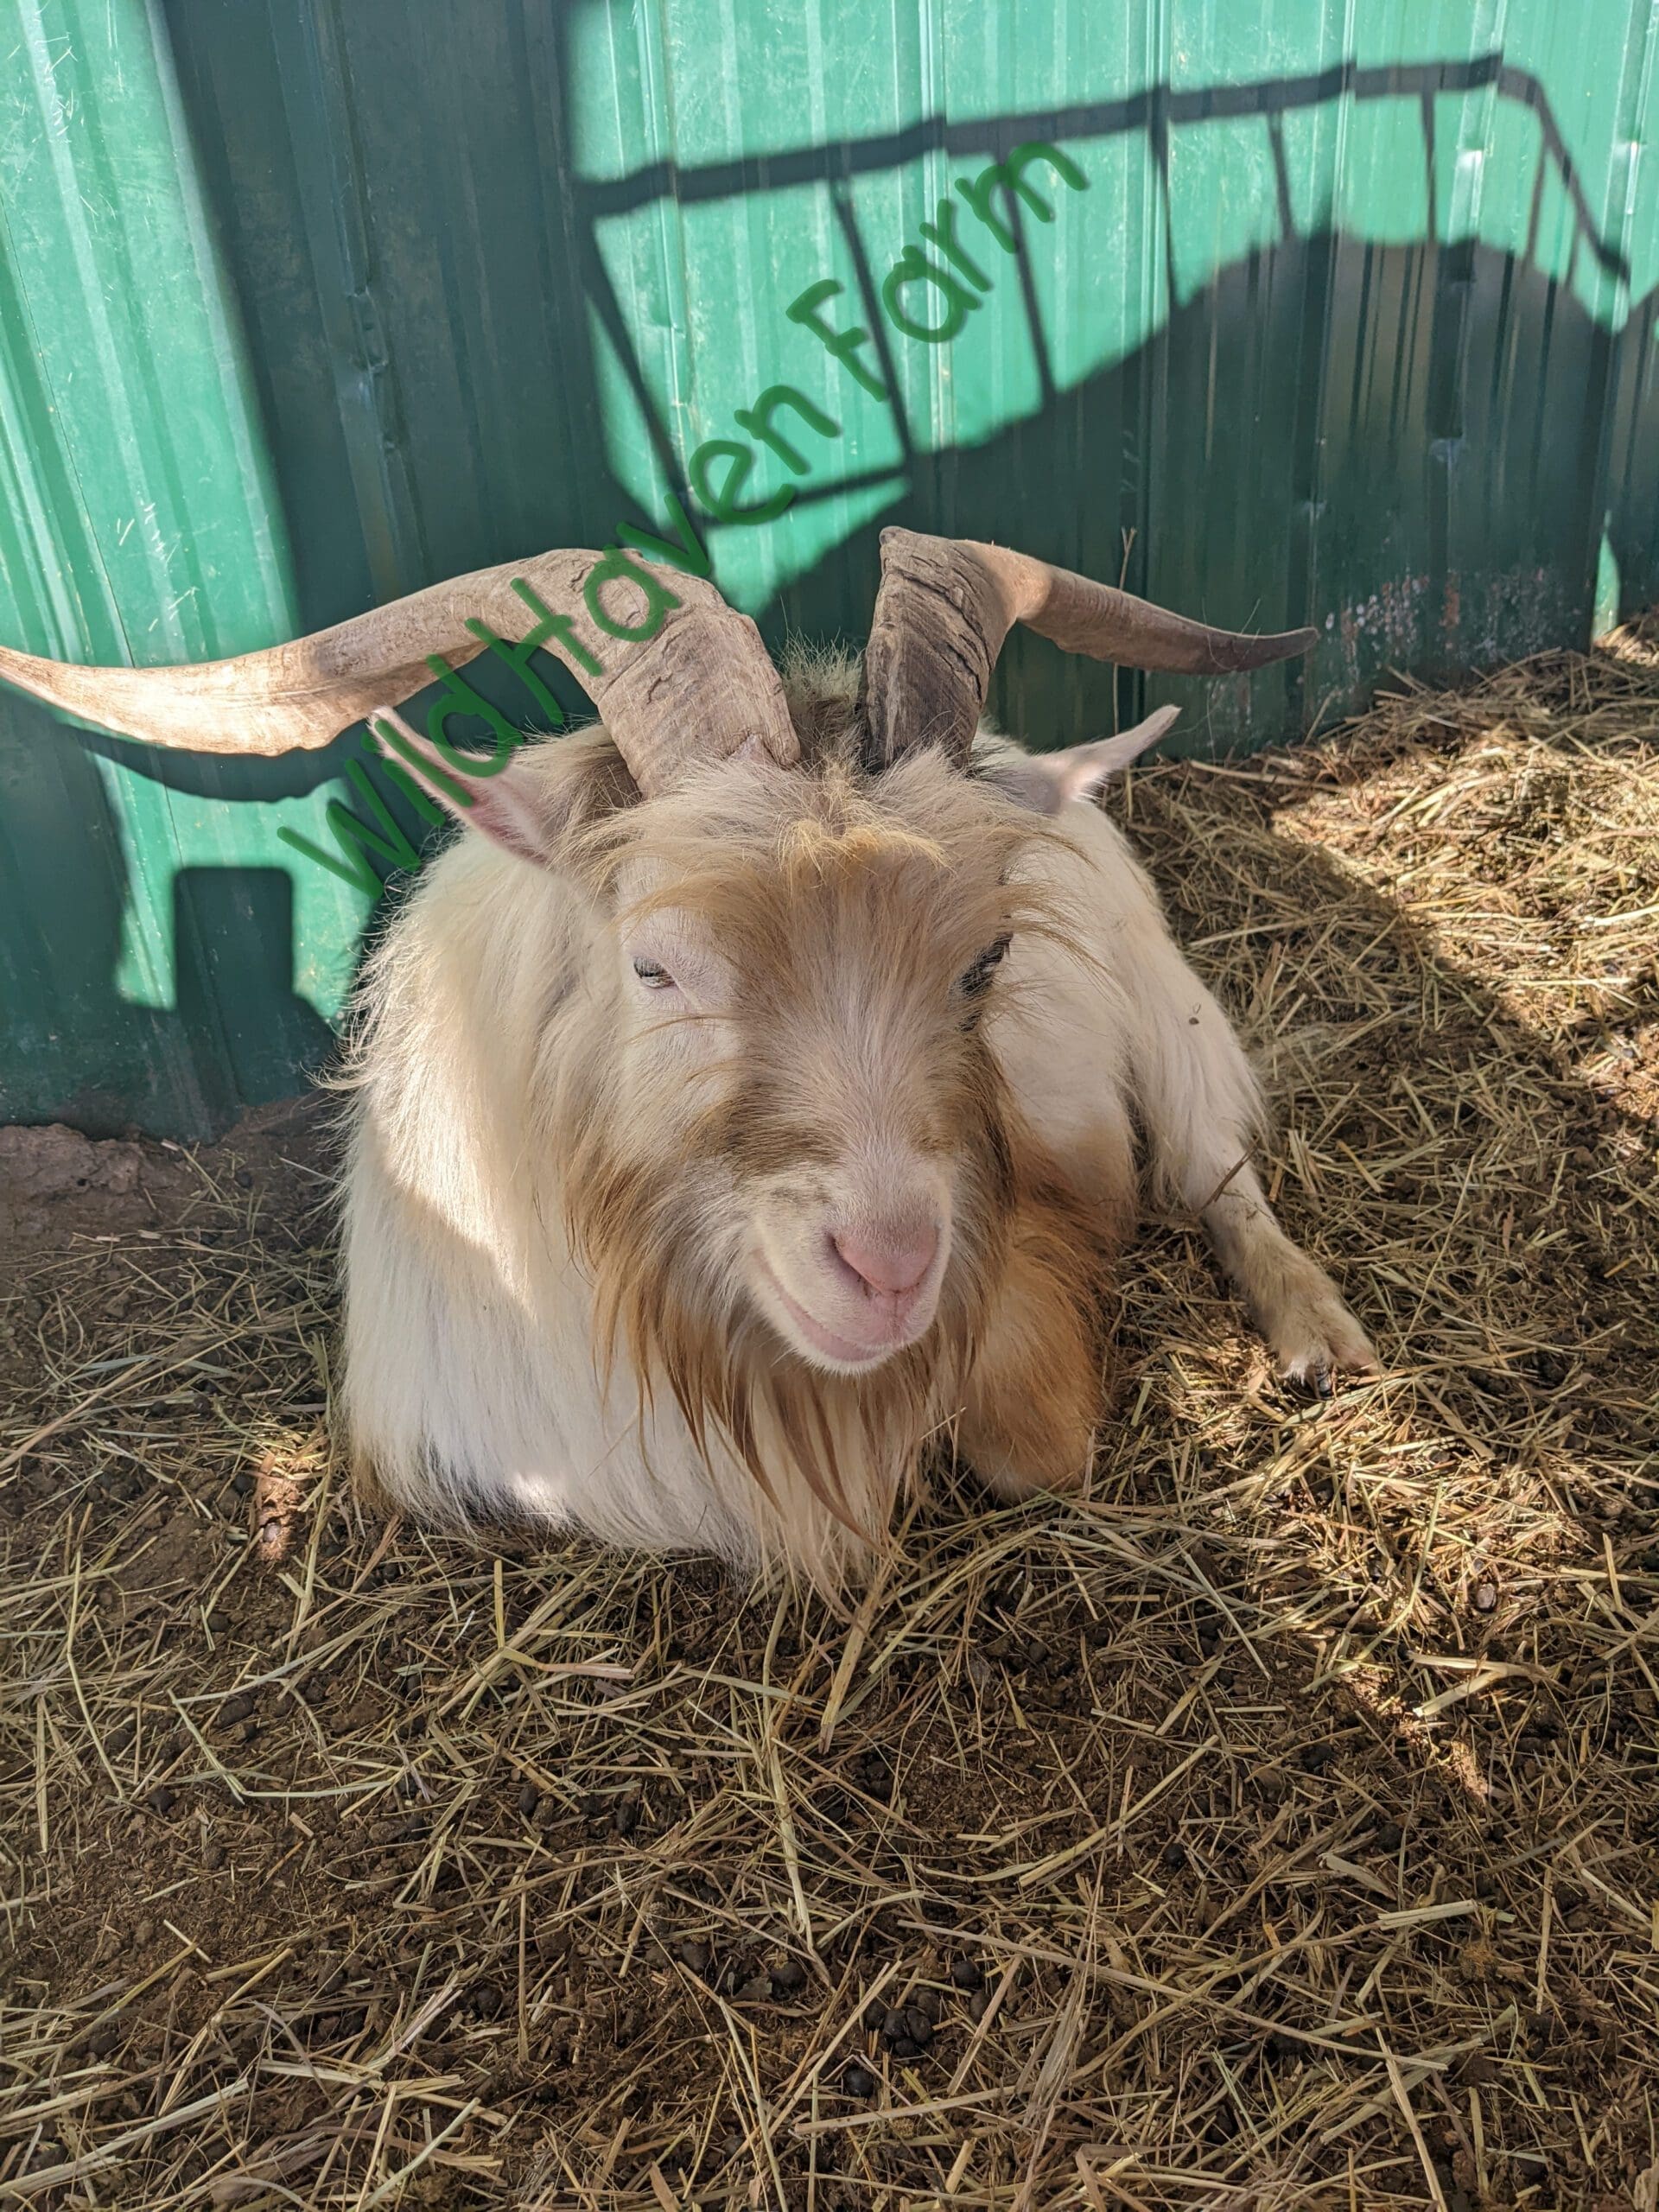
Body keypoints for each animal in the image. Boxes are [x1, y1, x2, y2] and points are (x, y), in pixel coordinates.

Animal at [0, 531, 1375, 1579]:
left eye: (988, 961)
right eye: (654, 966)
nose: (889, 1269)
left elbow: (1041, 1439)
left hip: (1162, 1002)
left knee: (1214, 1168)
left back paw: (1321, 1334)